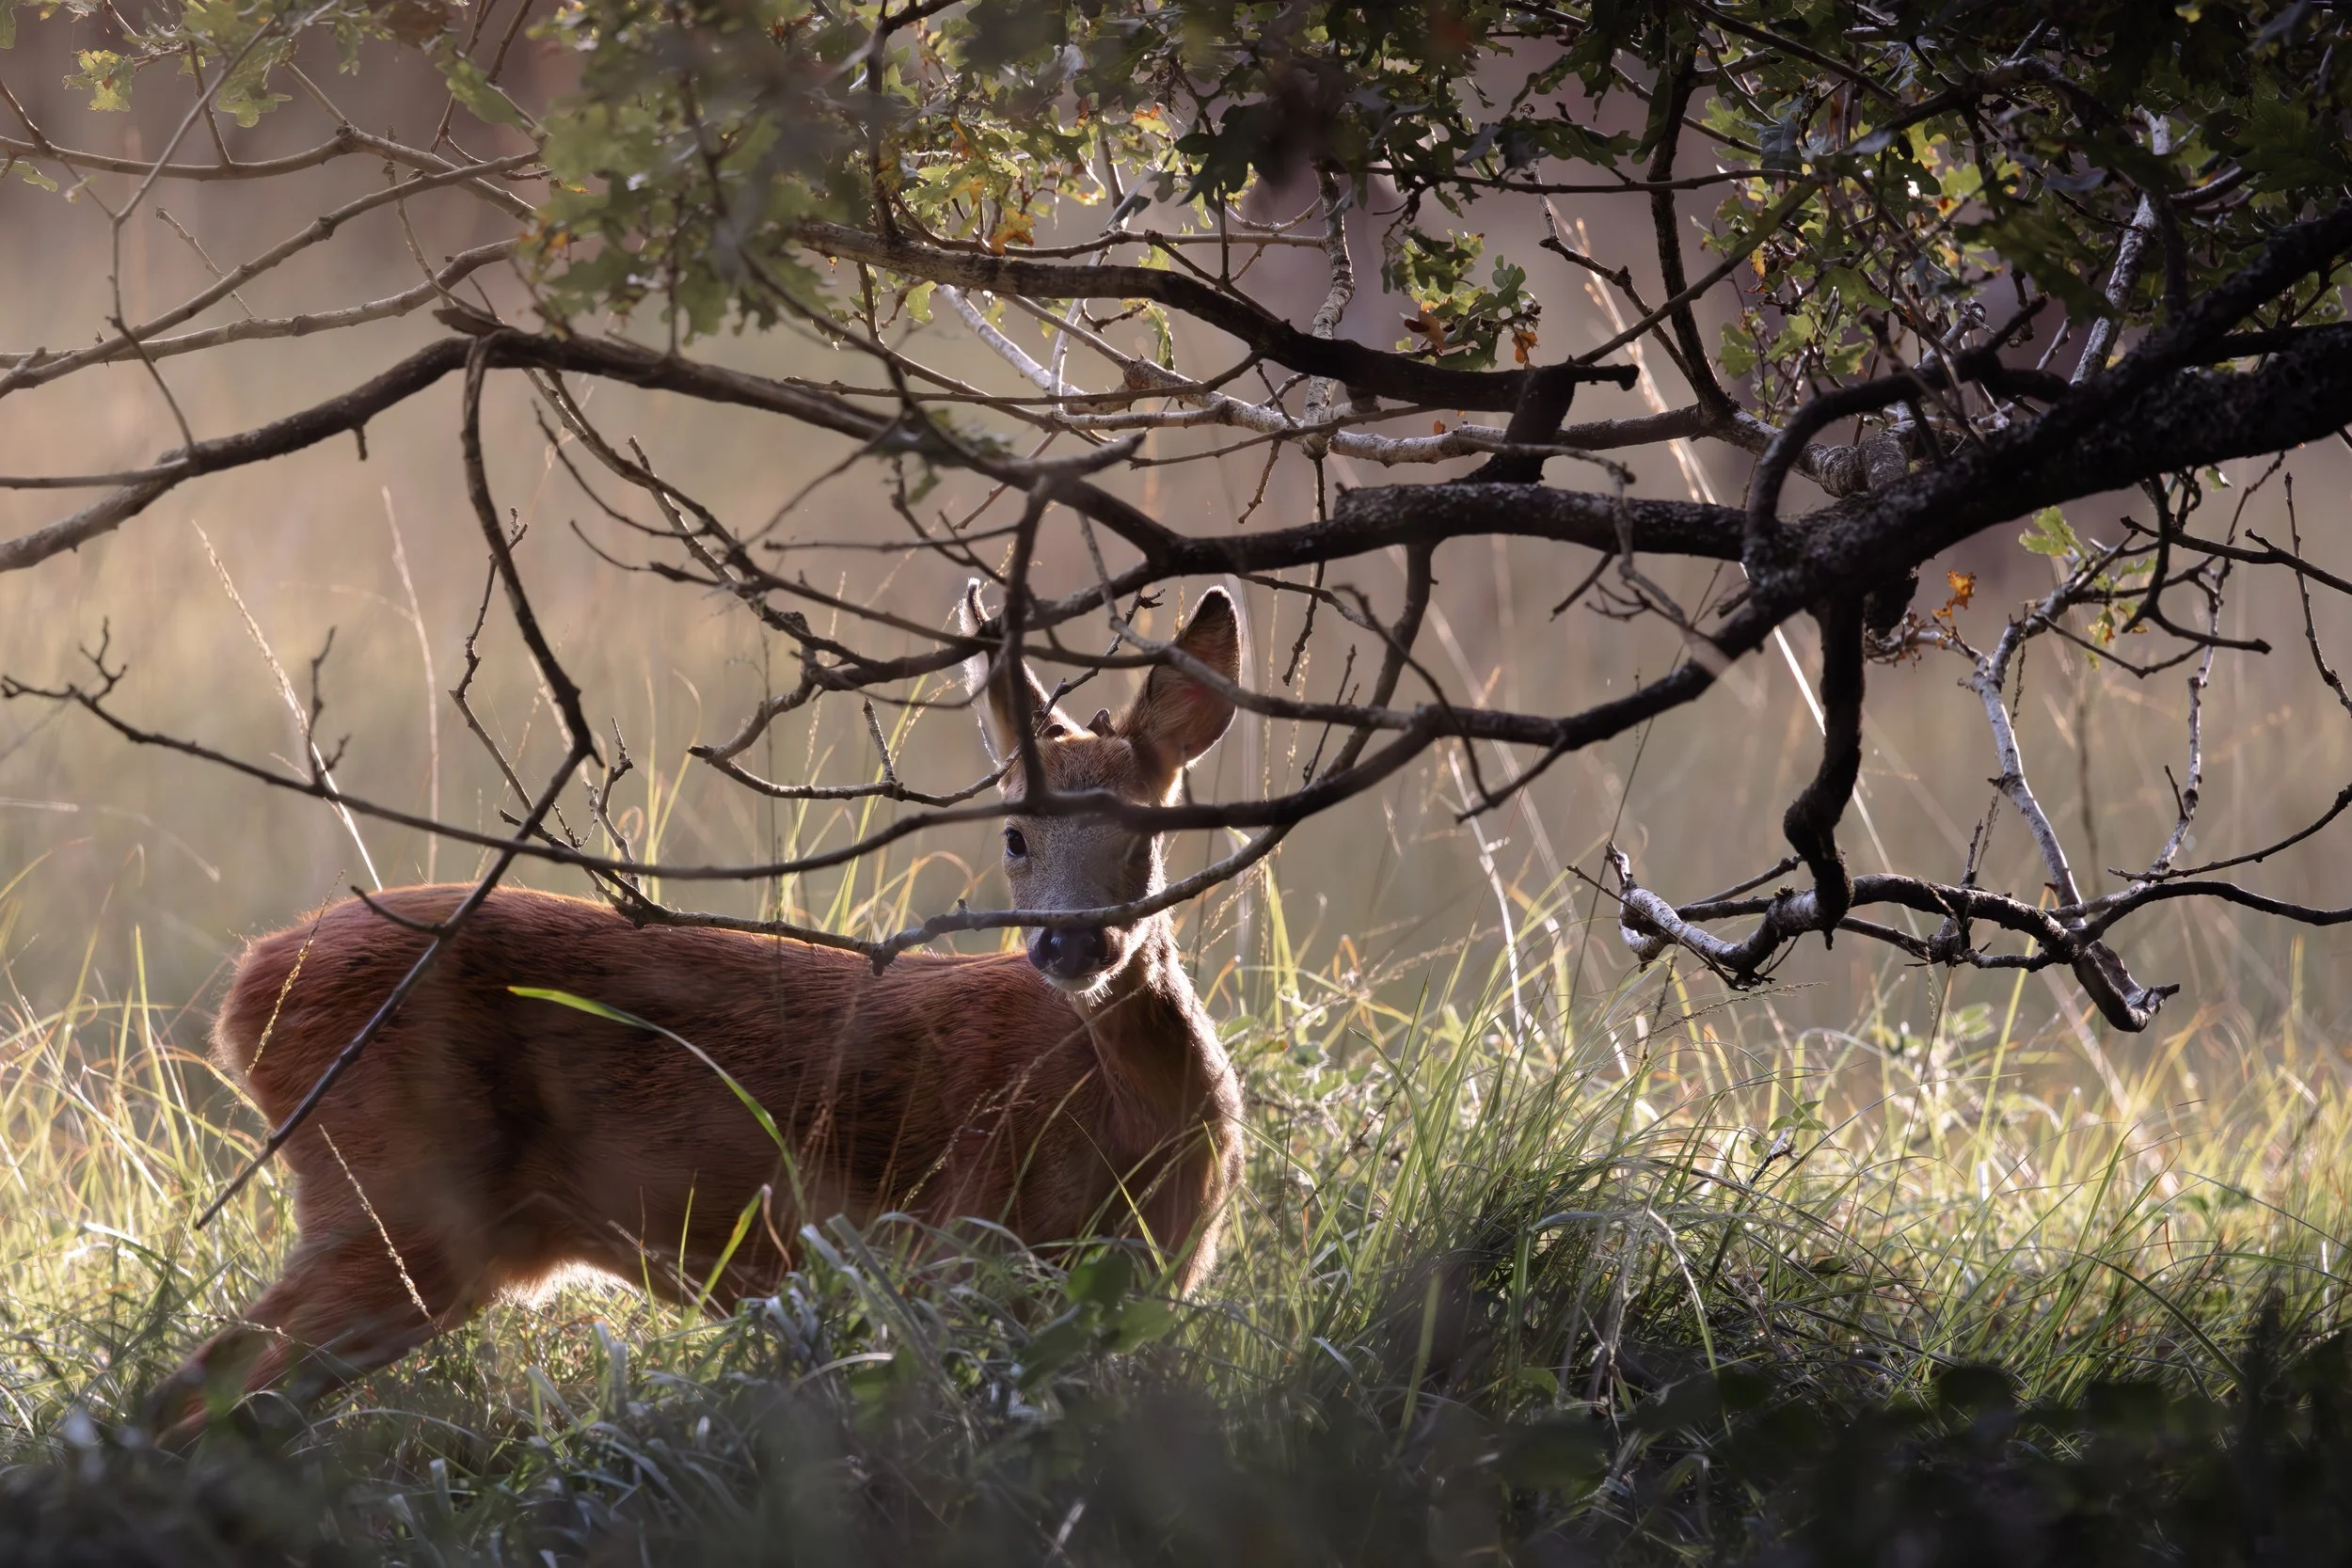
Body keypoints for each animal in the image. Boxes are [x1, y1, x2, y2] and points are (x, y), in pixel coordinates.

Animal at [158, 586, 1247, 1437]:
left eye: (1148, 832)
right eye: (1014, 835)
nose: (1069, 946)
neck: (1130, 1119)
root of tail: (247, 995)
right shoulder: (961, 1261)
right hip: (399, 1199)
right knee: (200, 1397)